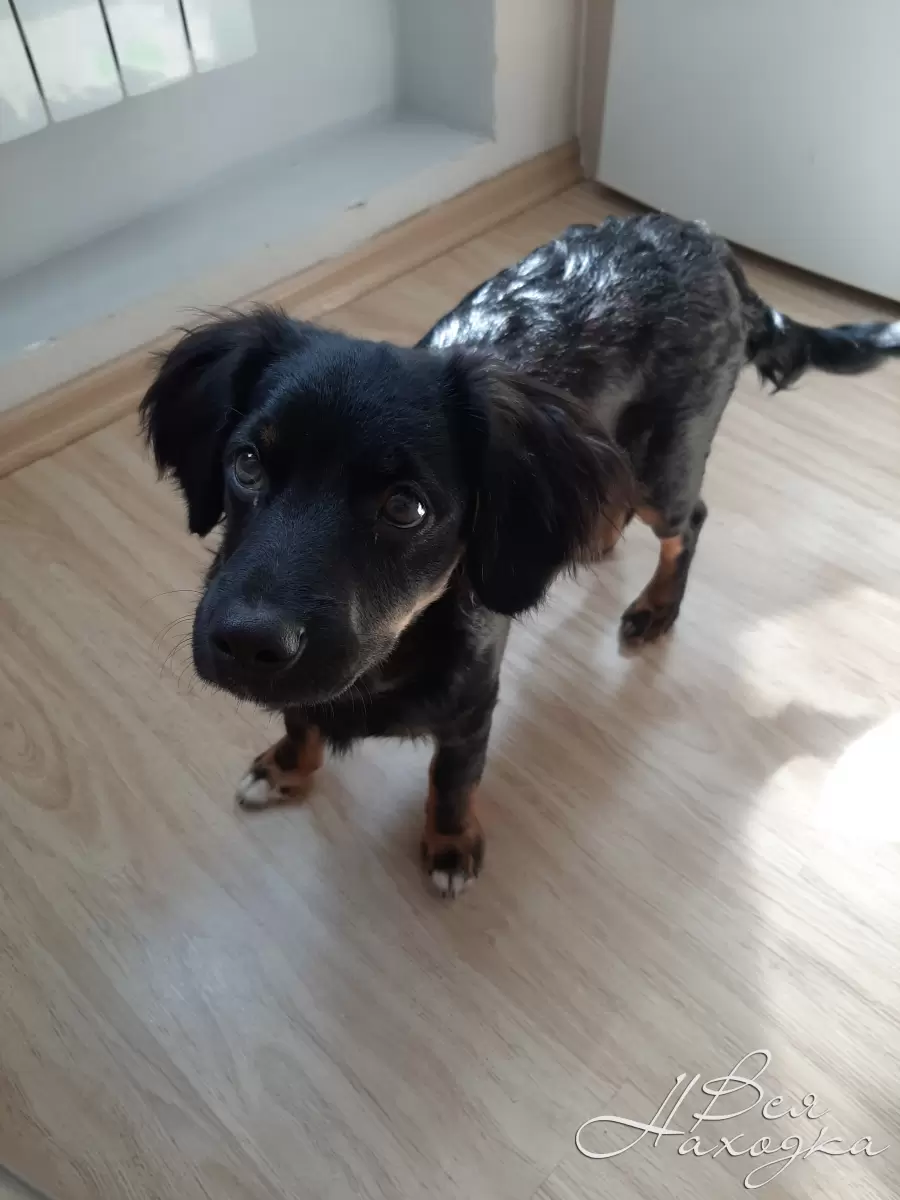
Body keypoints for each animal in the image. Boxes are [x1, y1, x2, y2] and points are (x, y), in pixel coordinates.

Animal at [141, 213, 900, 896]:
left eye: (406, 508)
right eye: (246, 462)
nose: (247, 643)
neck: (401, 644)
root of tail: (709, 241)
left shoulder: (472, 705)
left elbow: (450, 781)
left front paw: (448, 845)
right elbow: (298, 713)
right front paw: (287, 766)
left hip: (663, 465)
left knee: (689, 523)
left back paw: (657, 608)